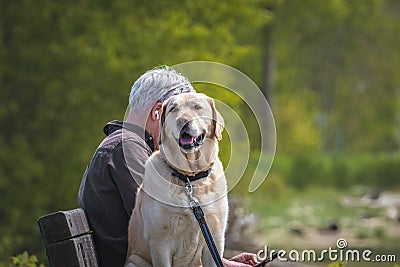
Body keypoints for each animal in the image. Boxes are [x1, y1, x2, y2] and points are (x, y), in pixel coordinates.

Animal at [125, 93, 228, 266]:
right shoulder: (160, 244)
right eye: (173, 108)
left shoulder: (216, 238)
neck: (189, 178)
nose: (183, 120)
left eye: (197, 107)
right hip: (134, 262)